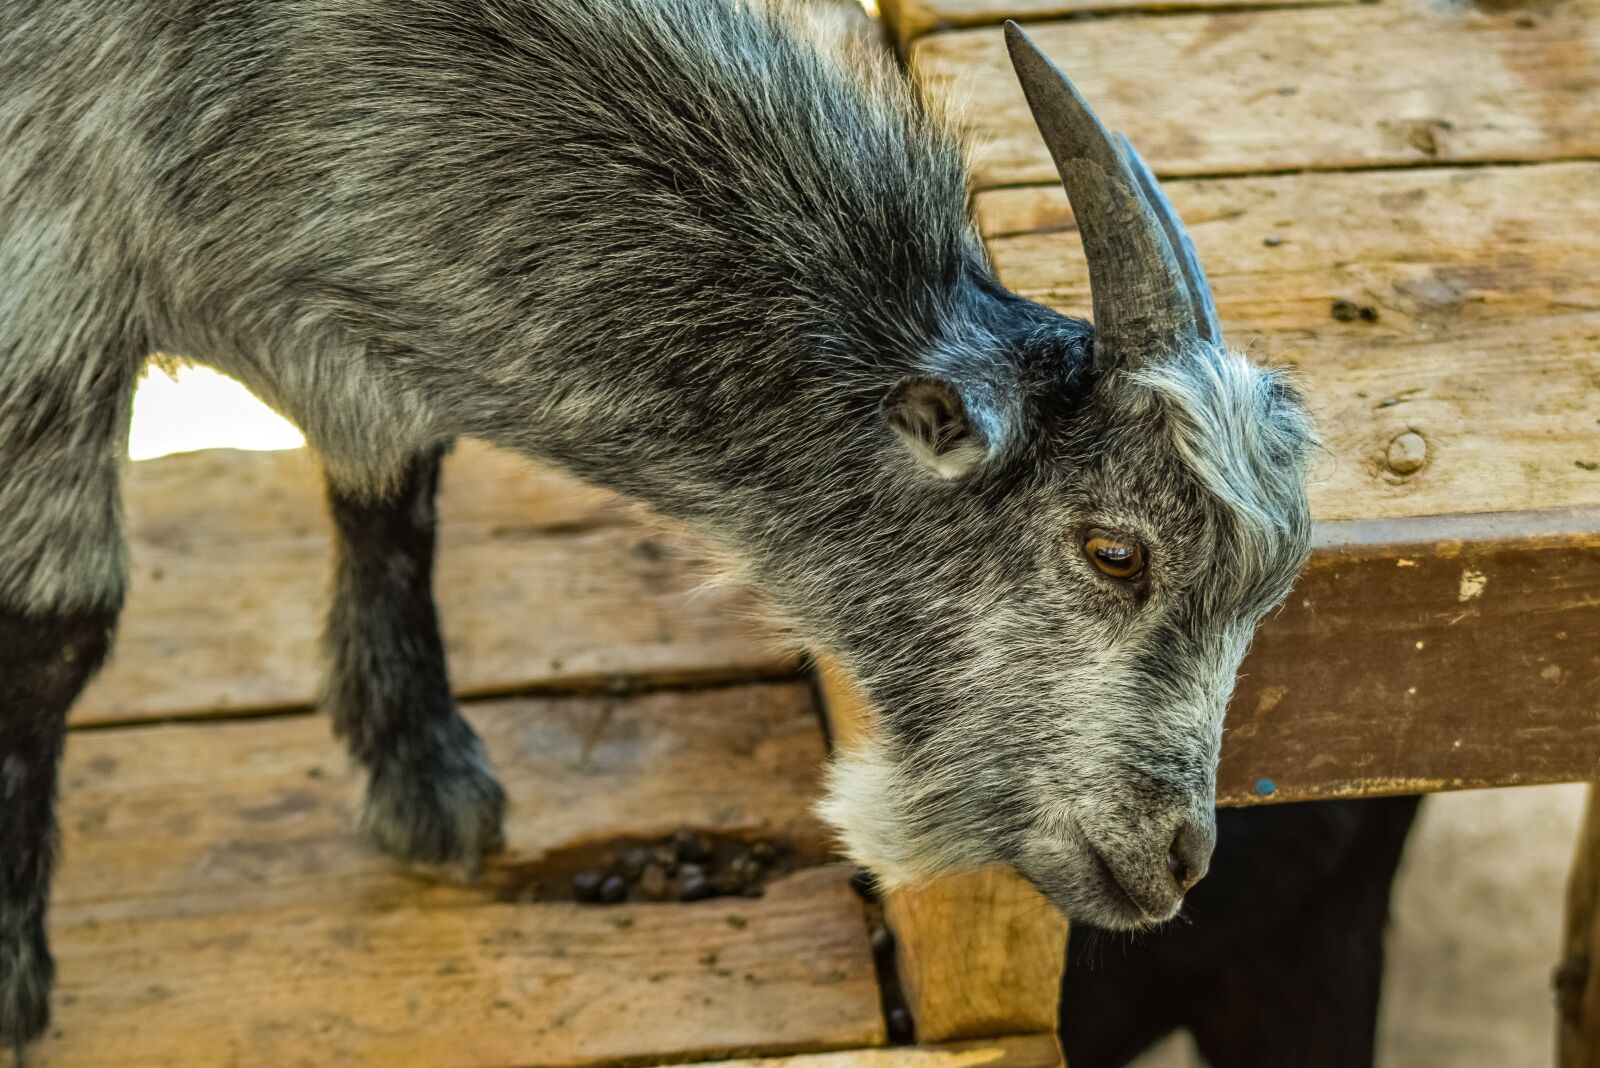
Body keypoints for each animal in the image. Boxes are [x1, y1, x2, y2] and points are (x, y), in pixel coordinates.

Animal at [0, 1, 1314, 1050]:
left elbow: (392, 487)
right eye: (1113, 550)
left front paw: (423, 773)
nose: (1179, 861)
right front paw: (13, 971)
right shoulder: (48, 270)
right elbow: (55, 624)